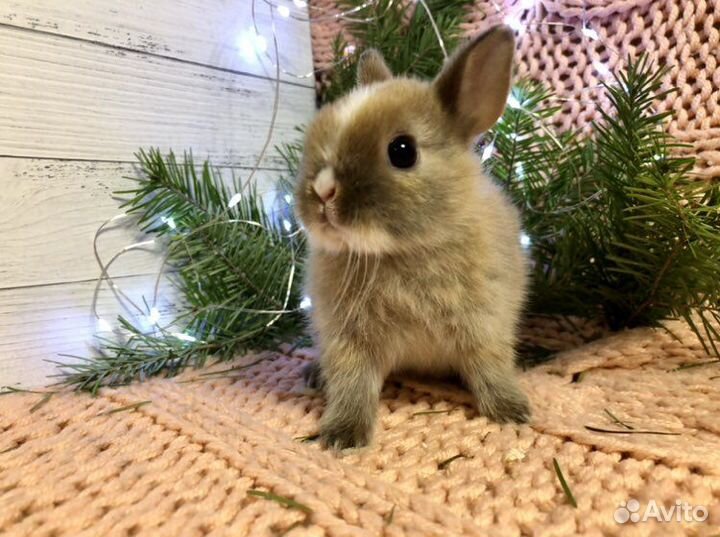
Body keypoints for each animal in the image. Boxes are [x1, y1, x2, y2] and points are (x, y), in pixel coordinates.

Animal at [294, 25, 530, 450]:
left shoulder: (486, 326)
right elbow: (352, 384)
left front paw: (511, 410)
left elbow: (491, 368)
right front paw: (342, 435)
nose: (322, 192)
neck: (401, 251)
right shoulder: (347, 339)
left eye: (402, 151)